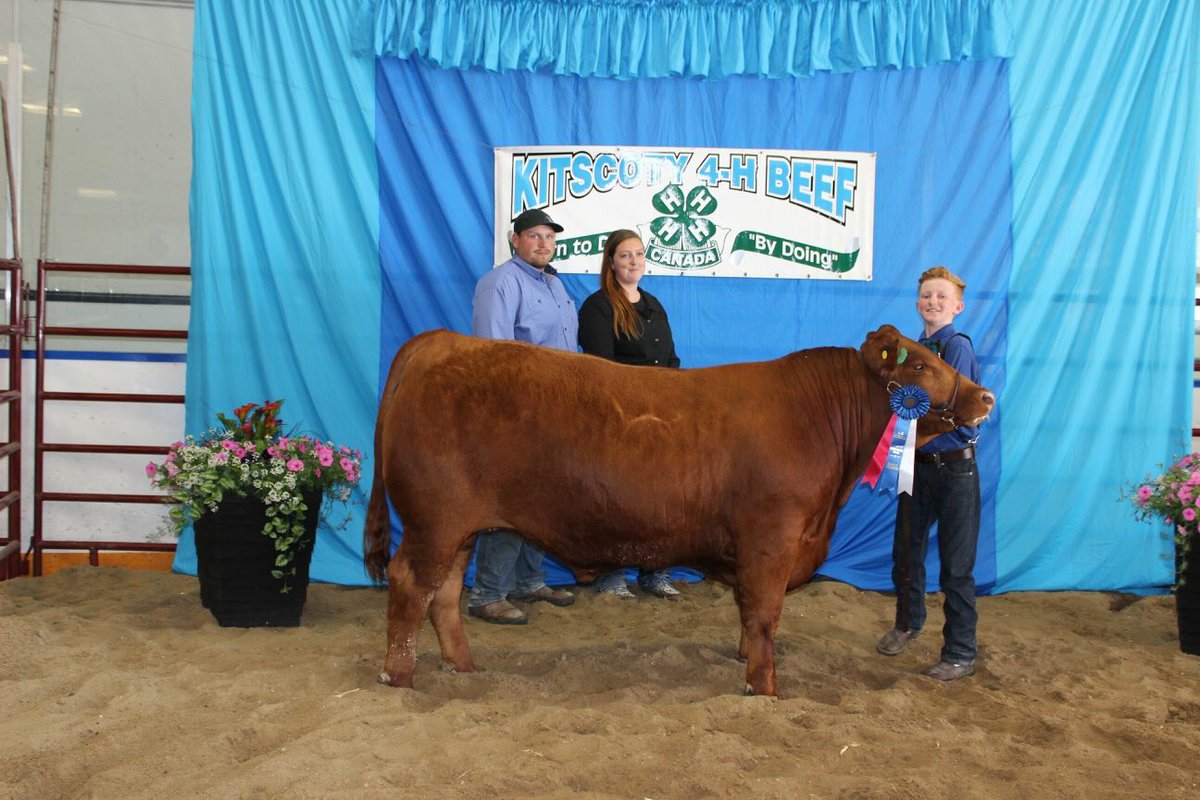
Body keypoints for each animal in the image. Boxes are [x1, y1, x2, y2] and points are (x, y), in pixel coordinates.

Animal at [363, 324, 994, 696]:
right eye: (920, 367)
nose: (985, 396)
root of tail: (440, 341)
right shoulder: (773, 536)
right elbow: (765, 612)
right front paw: (764, 687)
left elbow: (749, 612)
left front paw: (746, 661)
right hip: (435, 520)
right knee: (410, 585)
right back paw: (399, 676)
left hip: (459, 528)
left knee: (444, 593)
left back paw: (463, 668)